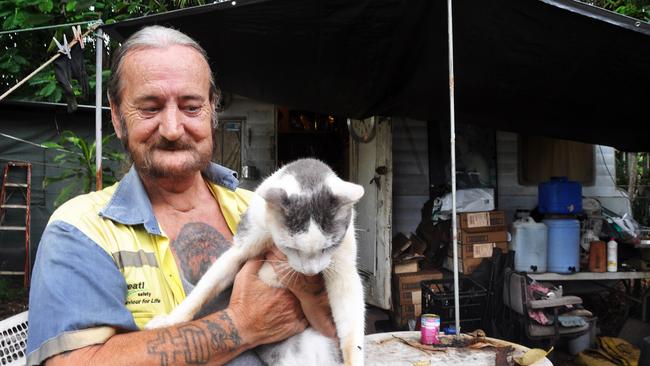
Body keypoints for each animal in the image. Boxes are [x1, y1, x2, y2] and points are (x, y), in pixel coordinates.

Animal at [147, 159, 368, 366]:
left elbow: (351, 322)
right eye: (292, 248)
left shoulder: (343, 267)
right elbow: (204, 289)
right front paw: (168, 322)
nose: (311, 272)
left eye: (328, 247)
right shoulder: (245, 240)